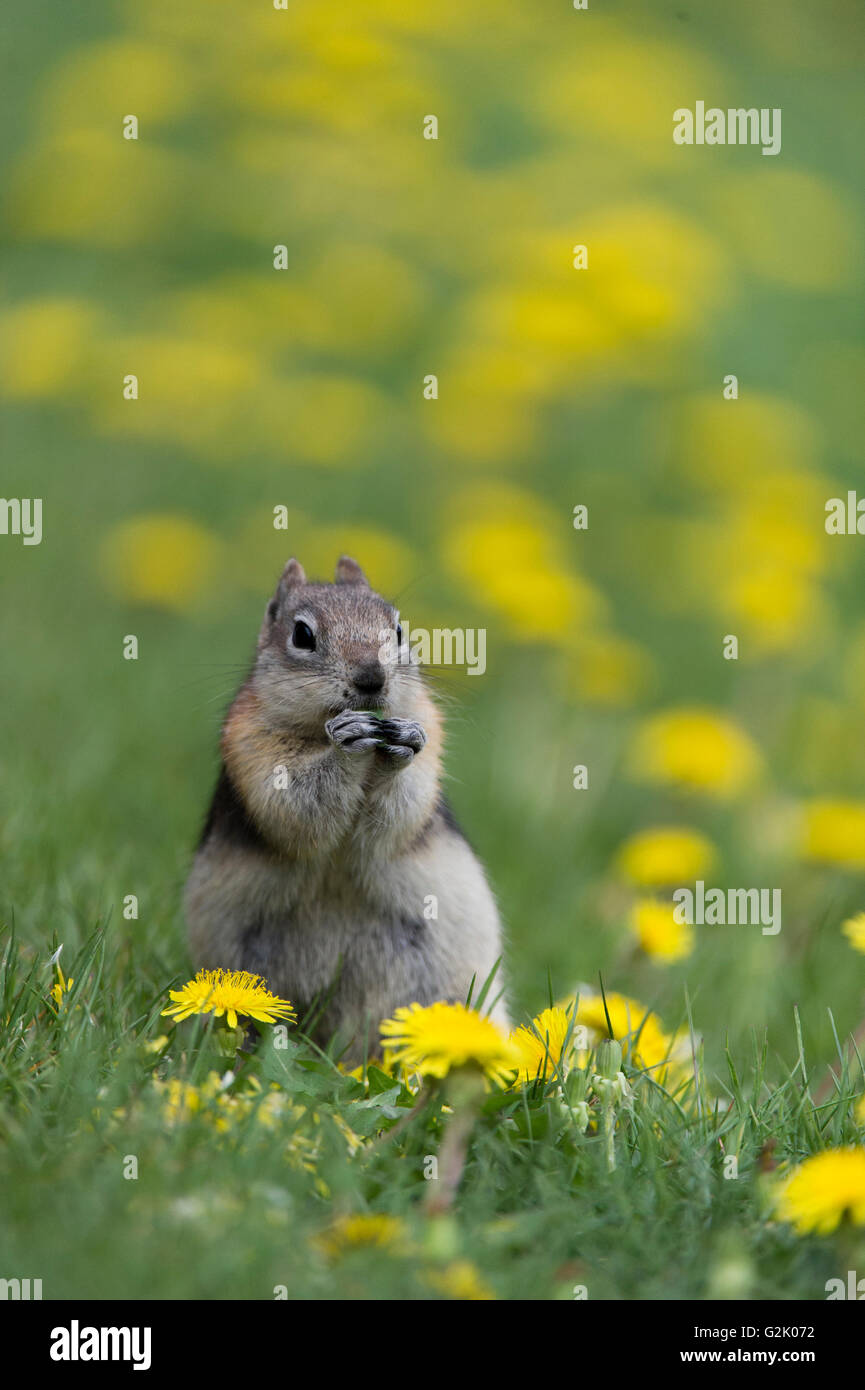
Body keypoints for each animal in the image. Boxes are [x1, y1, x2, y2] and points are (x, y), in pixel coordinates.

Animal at [183, 547, 508, 1056]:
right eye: (301, 634)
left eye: (399, 630)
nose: (372, 678)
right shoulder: (253, 748)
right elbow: (297, 806)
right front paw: (347, 745)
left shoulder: (429, 741)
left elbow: (401, 810)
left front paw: (400, 747)